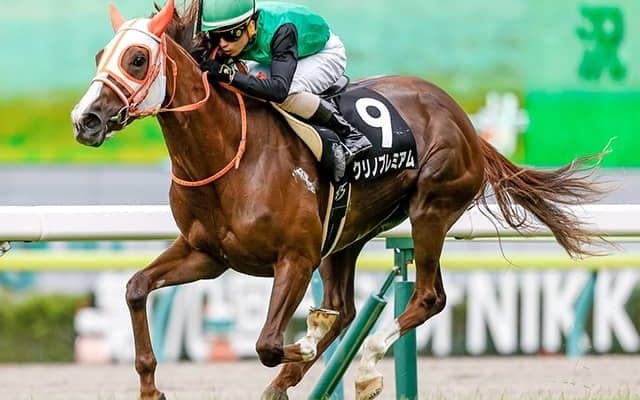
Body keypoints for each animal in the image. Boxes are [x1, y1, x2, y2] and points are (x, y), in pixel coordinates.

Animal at [70, 1, 606, 399]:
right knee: (346, 308)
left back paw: (364, 365)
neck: (229, 155)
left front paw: (306, 343)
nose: (85, 120)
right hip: (348, 233)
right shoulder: (207, 254)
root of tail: (466, 122)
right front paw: (150, 387)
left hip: (430, 208)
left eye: (137, 59)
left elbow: (268, 343)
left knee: (426, 296)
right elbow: (135, 288)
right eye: (99, 55)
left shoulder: (295, 256)